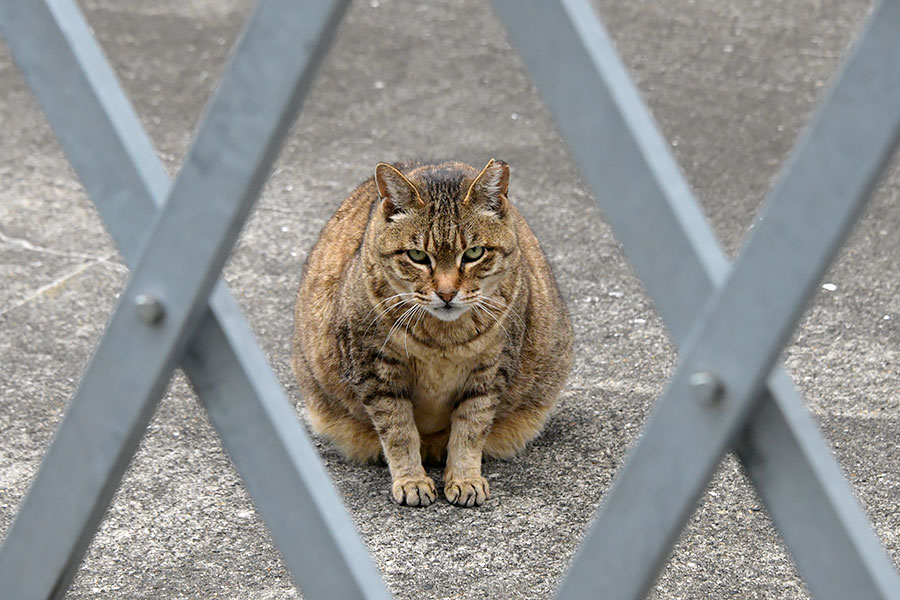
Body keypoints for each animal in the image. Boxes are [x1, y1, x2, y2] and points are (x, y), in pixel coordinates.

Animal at [292, 159, 572, 506]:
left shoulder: (491, 371)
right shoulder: (374, 369)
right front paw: (411, 480)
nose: (447, 293)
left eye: (474, 253)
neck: (443, 340)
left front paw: (465, 479)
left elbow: (470, 430)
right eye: (417, 256)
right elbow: (398, 432)